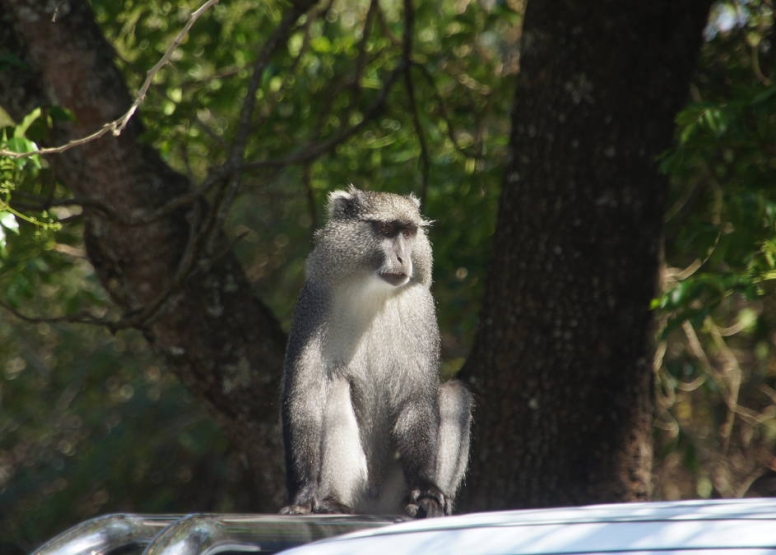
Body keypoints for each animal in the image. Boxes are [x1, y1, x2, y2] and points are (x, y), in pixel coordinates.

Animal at [280, 186, 472, 516]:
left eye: (408, 232)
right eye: (385, 230)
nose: (402, 257)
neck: (370, 290)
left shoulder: (420, 305)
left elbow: (416, 399)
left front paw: (427, 490)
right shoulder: (314, 301)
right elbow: (306, 394)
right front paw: (303, 495)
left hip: (392, 494)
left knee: (454, 393)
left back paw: (418, 504)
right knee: (335, 386)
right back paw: (332, 502)